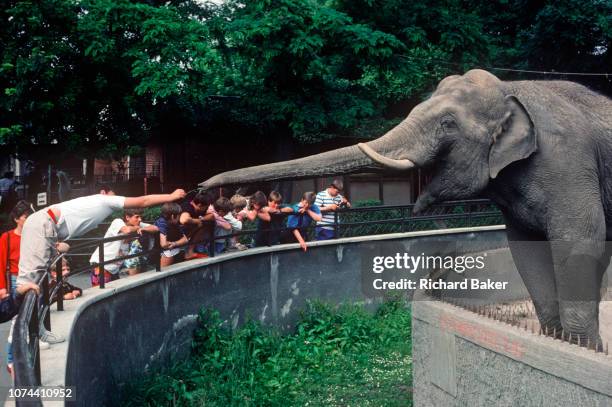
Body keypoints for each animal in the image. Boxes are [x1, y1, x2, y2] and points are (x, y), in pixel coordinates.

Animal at [202, 69, 612, 348]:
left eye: (447, 123)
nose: (201, 186)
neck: (512, 89)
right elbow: (527, 250)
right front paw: (555, 340)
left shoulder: (568, 164)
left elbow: (579, 241)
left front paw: (582, 349)